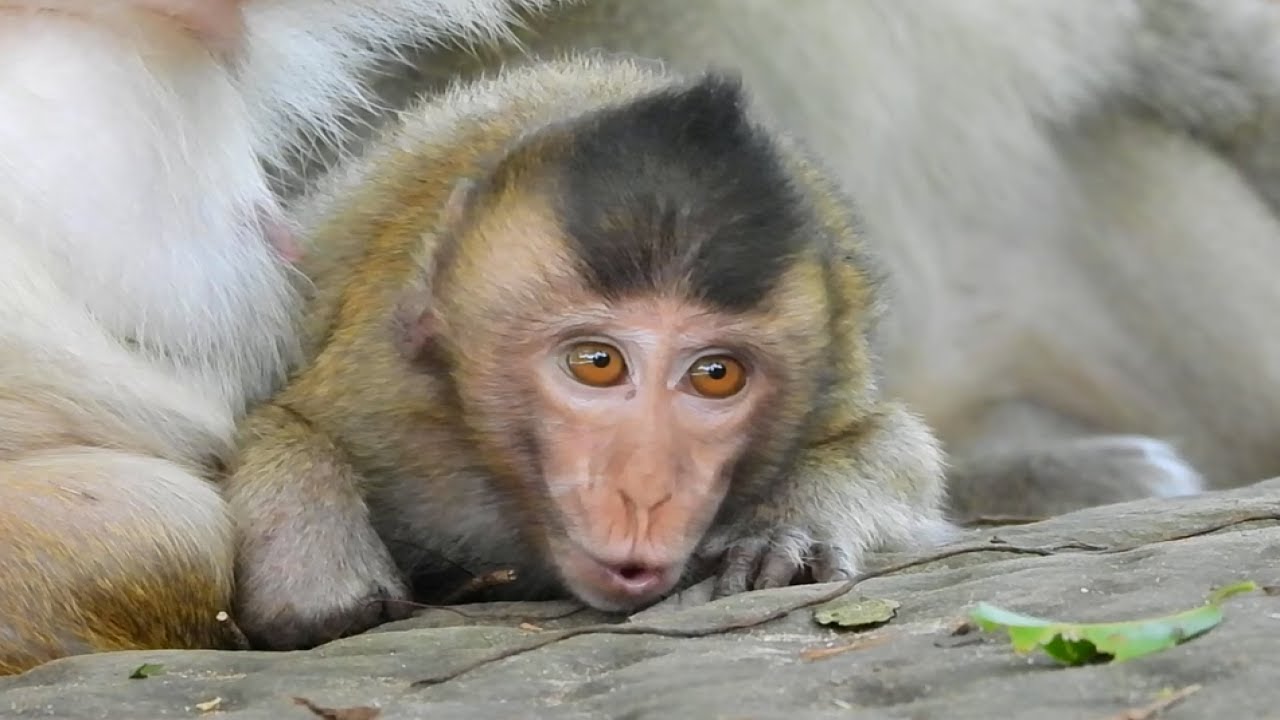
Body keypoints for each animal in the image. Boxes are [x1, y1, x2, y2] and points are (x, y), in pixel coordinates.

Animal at [223, 54, 953, 652]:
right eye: (597, 363)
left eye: (716, 375)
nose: (647, 492)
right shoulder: (385, 396)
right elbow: (275, 419)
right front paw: (314, 570)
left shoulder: (834, 389)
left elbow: (895, 442)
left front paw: (786, 525)